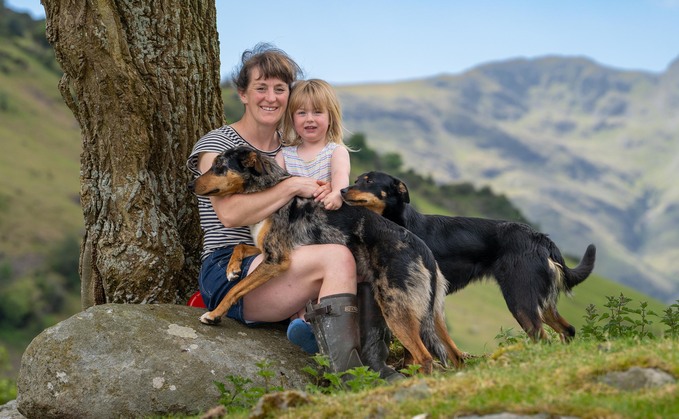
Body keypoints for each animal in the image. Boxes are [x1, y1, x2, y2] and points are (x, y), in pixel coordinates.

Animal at [191, 147, 468, 374]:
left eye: (219, 165)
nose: (190, 184)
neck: (268, 190)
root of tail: (424, 251)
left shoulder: (276, 260)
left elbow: (236, 289)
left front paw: (214, 314)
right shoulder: (267, 251)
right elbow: (239, 247)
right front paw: (232, 268)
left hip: (396, 307)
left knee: (425, 358)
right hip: (430, 314)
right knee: (454, 354)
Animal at [342, 172, 596, 342]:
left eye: (369, 181)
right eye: (357, 179)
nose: (342, 190)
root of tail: (540, 238)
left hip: (520, 297)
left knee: (542, 338)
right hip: (539, 300)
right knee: (568, 329)